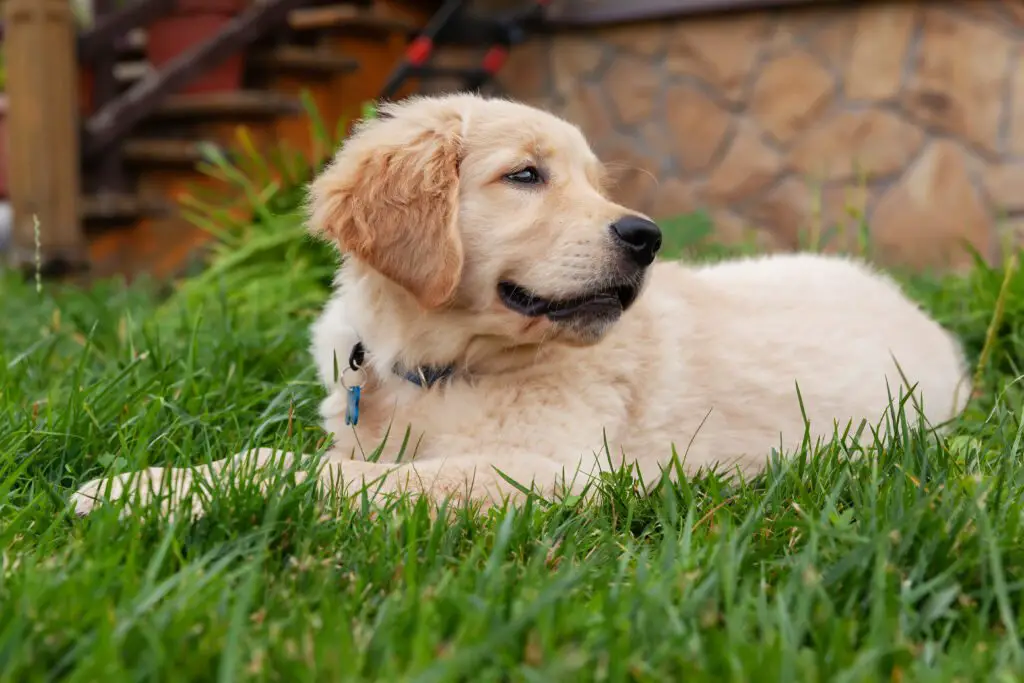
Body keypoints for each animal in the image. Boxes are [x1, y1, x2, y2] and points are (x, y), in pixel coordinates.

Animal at [72, 93, 966, 516]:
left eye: (598, 185)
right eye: (526, 175)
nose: (647, 235)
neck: (440, 364)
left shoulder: (555, 470)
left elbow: (346, 479)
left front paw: (139, 495)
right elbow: (292, 459)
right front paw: (146, 487)